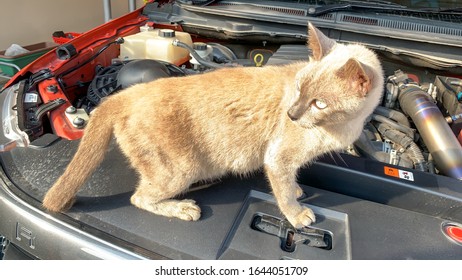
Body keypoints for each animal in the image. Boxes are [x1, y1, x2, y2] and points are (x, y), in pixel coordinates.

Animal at [42, 21, 382, 228]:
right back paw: (184, 208)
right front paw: (298, 215)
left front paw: (298, 191)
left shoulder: (287, 162)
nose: (292, 115)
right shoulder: (277, 158)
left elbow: (289, 183)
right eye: (299, 88)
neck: (343, 128)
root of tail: (124, 95)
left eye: (319, 103)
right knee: (139, 198)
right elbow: (282, 191)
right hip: (179, 169)